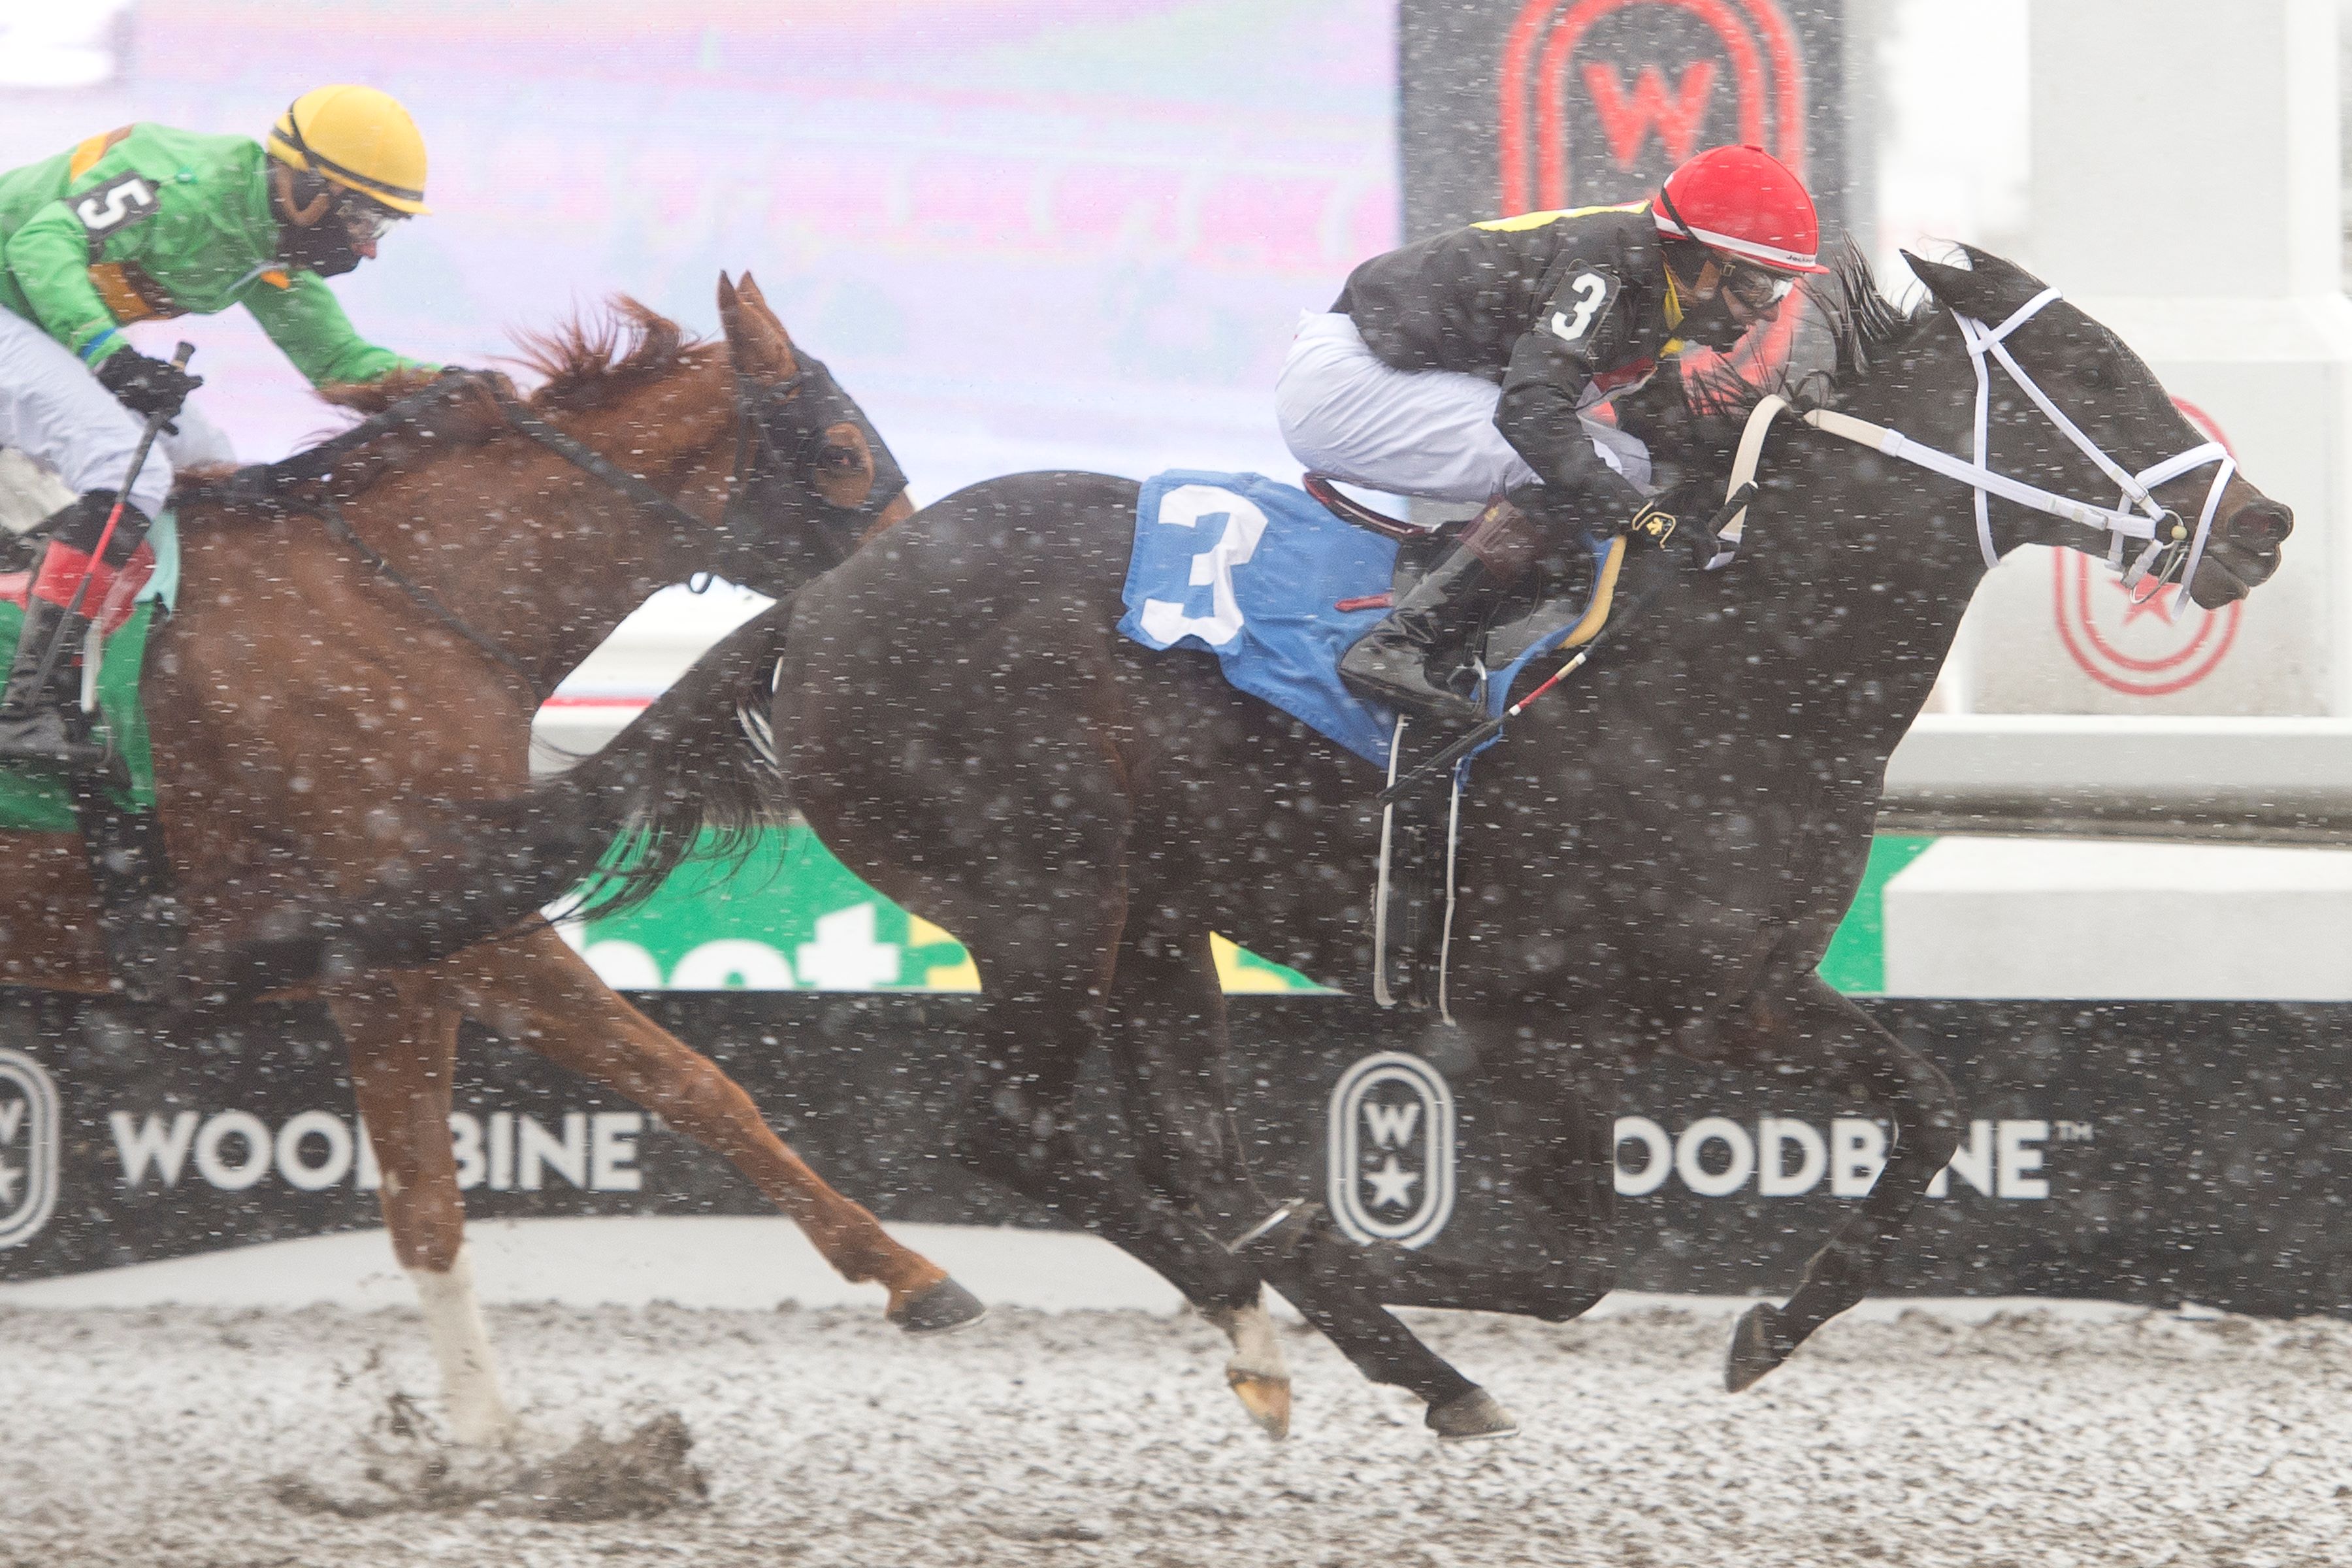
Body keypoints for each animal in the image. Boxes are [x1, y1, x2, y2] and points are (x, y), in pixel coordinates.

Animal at [0, 278, 983, 1448]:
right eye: (839, 451)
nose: (930, 602)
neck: (398, 601)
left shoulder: (394, 968)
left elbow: (427, 1210)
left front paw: (485, 1443)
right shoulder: (466, 928)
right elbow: (696, 1081)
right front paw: (914, 1275)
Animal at [267, 248, 2286, 1448]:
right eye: (2106, 372)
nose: (2262, 522)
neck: (1729, 652)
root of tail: (823, 599)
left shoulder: (1723, 994)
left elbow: (1923, 1117)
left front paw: (1765, 1330)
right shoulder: (1545, 1016)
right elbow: (1551, 1254)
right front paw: (1356, 1266)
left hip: (1153, 916)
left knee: (1164, 1140)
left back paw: (1282, 1322)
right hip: (1040, 890)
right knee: (1019, 1129)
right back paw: (1305, 1311)